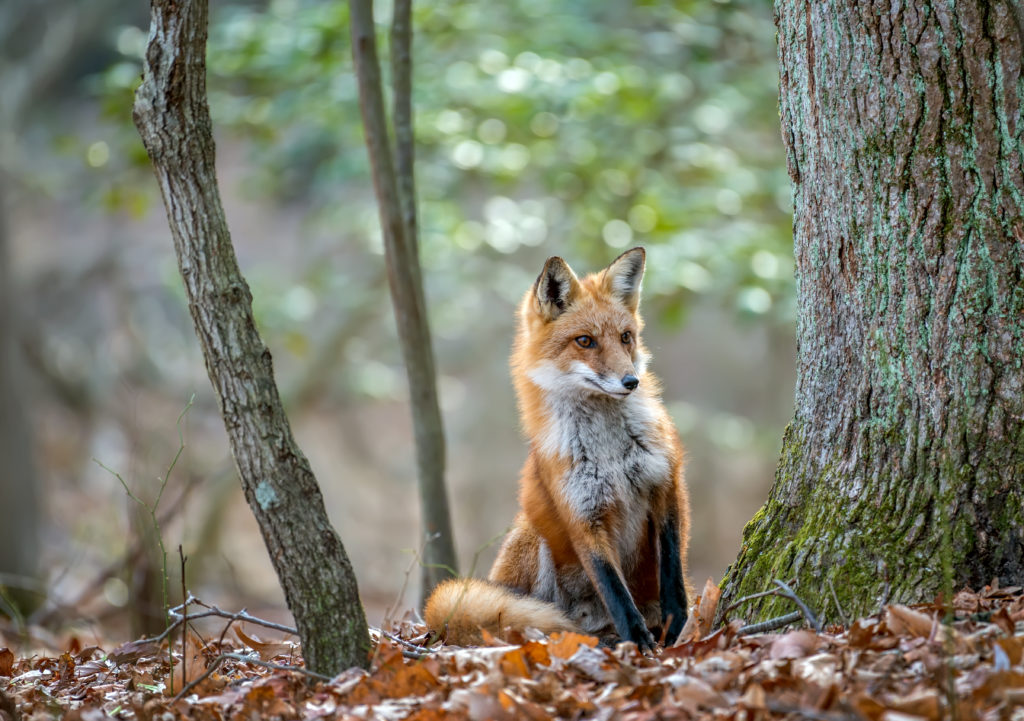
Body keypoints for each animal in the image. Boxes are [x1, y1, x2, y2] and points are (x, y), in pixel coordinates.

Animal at [423, 246, 688, 647]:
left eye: (626, 337)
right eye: (585, 341)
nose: (631, 382)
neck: (609, 451)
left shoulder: (665, 486)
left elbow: (673, 569)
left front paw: (675, 623)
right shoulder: (582, 514)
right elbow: (614, 589)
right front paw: (639, 642)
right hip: (535, 533)